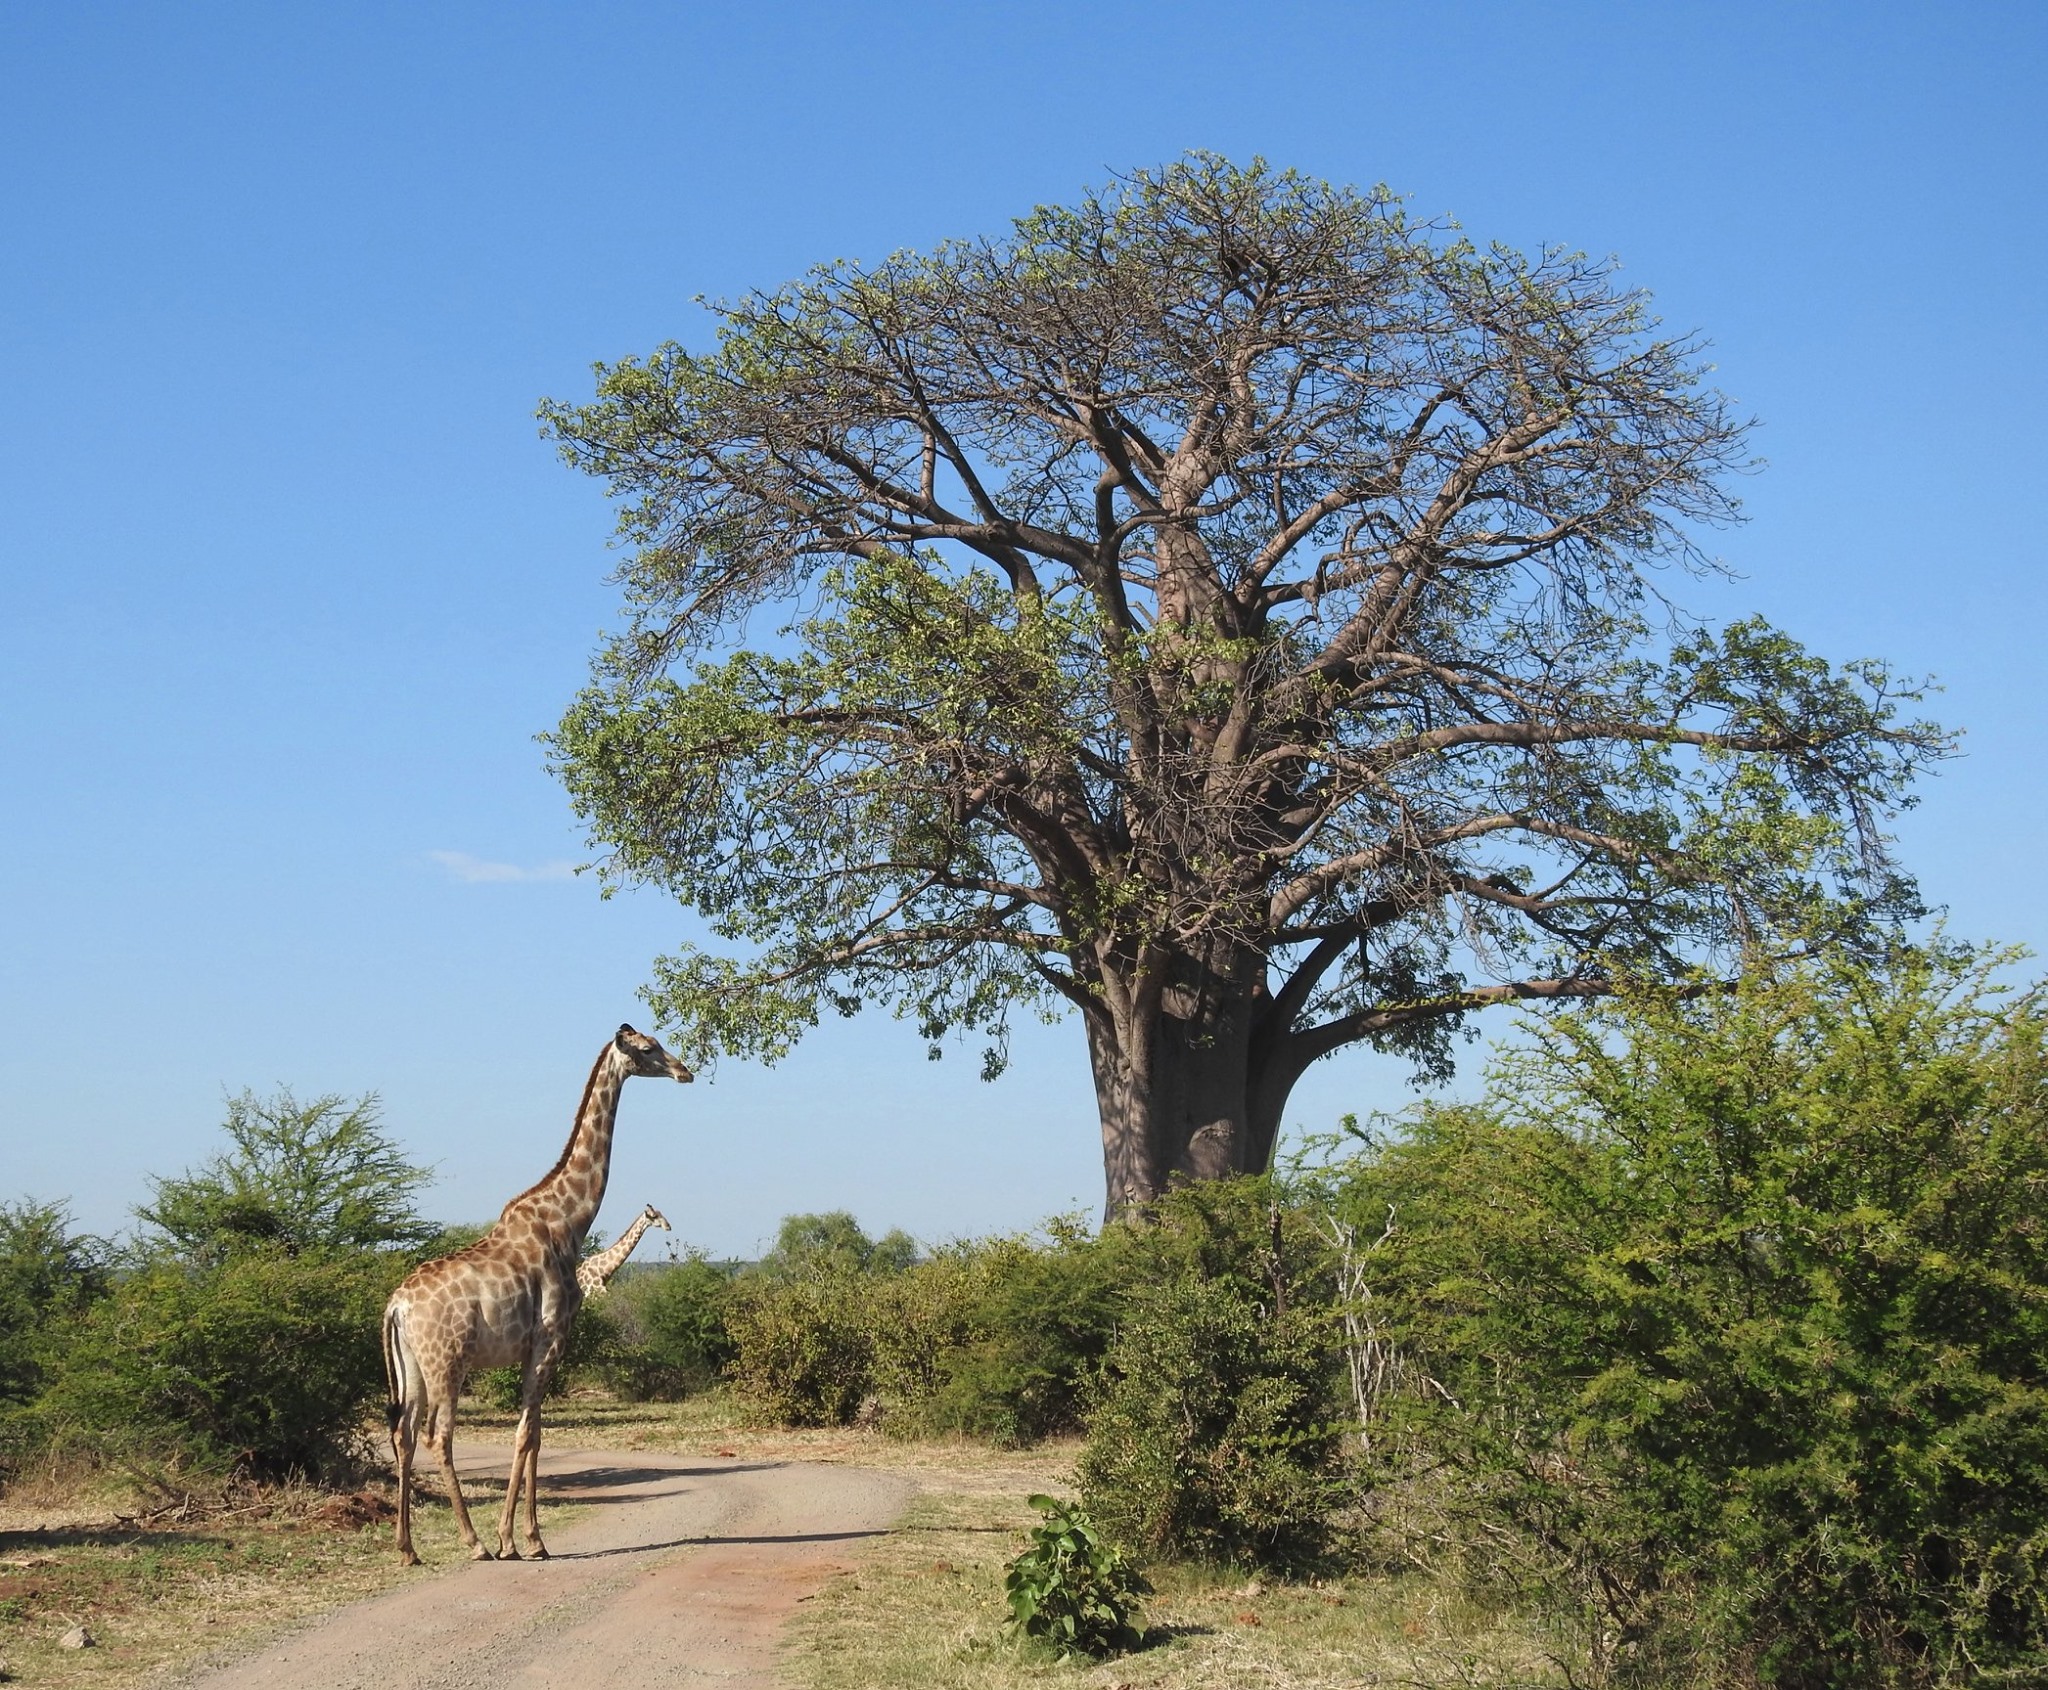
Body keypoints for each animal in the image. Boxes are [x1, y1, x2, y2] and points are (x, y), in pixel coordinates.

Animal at [381, 1024, 692, 1564]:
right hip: (448, 1362)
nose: (685, 1071)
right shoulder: (551, 1340)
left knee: (403, 1433)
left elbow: (538, 1434)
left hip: (413, 1367)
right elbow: (526, 1432)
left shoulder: (538, 1349)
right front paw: (512, 1539)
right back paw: (476, 1543)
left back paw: (407, 1548)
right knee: (438, 1435)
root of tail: (396, 1307)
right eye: (648, 1048)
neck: (569, 1222)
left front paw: (533, 1537)